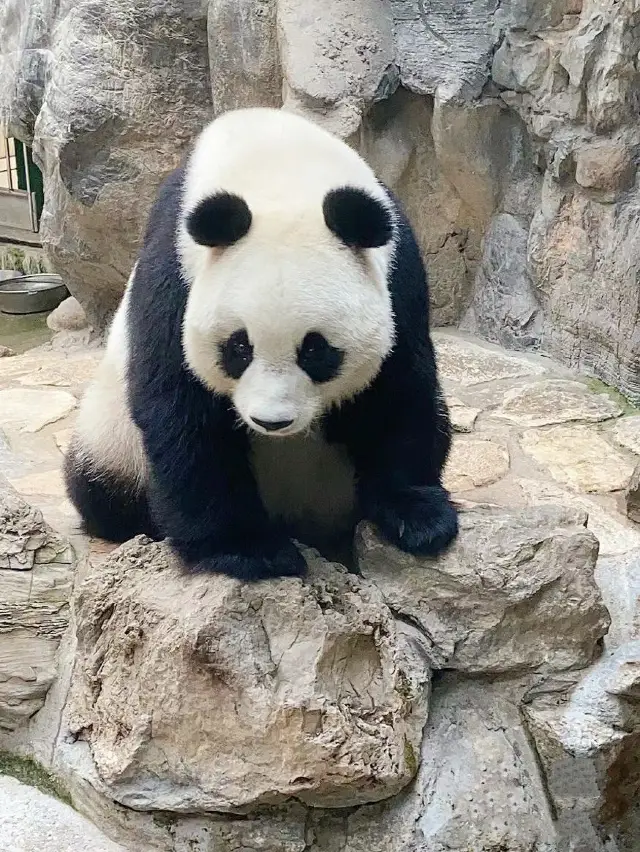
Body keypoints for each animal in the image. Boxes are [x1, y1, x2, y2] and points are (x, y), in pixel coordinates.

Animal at [63, 106, 456, 580]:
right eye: (239, 348)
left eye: (315, 350)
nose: (272, 422)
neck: (276, 163)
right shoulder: (174, 275)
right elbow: (181, 407)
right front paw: (248, 551)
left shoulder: (399, 274)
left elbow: (397, 389)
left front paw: (417, 518)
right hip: (112, 440)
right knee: (101, 490)